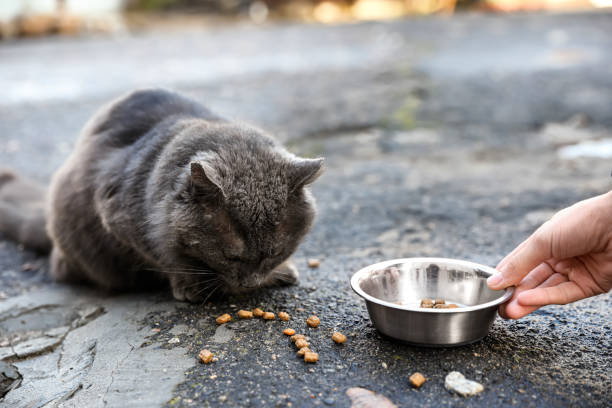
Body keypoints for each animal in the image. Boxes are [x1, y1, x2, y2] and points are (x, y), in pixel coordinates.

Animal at [0, 88, 326, 300]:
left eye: (275, 252)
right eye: (230, 256)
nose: (249, 284)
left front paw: (281, 271)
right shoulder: (119, 218)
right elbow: (165, 256)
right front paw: (190, 286)